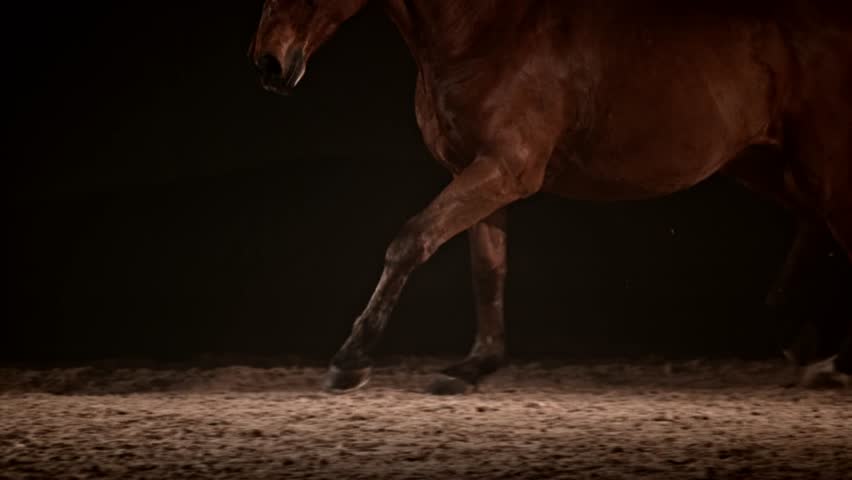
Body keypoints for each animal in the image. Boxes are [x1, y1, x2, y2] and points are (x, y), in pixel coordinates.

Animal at [249, 0, 852, 393]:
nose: (269, 63)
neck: (480, 34)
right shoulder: (480, 174)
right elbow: (486, 268)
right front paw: (475, 365)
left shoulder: (506, 169)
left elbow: (411, 240)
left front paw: (350, 361)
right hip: (764, 165)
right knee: (815, 226)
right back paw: (805, 347)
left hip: (820, 162)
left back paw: (828, 357)